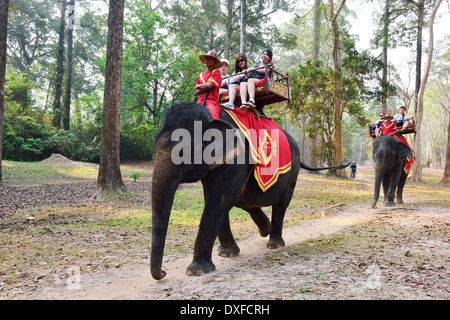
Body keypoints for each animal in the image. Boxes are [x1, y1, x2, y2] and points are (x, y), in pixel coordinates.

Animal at [149, 103, 350, 280]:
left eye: (185, 151)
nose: (163, 273)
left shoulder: (238, 159)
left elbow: (219, 199)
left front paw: (197, 271)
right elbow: (215, 199)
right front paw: (227, 253)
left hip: (292, 174)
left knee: (280, 204)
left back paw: (275, 244)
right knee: (245, 200)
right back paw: (265, 230)